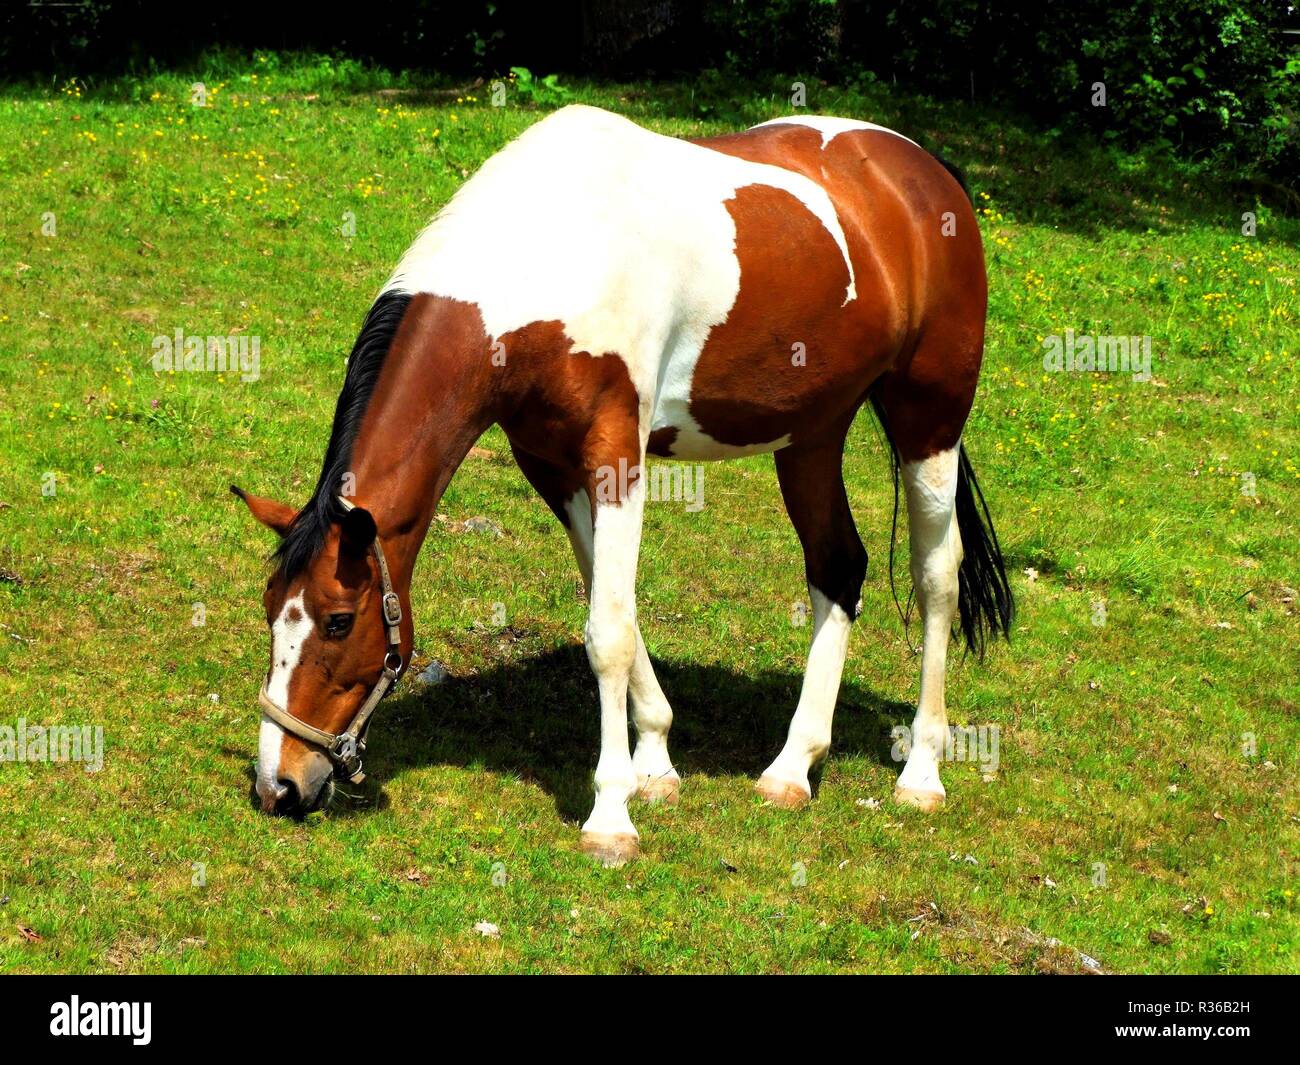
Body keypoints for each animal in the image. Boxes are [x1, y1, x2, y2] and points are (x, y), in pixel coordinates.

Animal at [233, 105, 1014, 866]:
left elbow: (606, 631)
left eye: (339, 620)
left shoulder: (616, 457)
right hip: (811, 436)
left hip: (929, 422)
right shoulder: (553, 468)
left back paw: (922, 772)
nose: (279, 786)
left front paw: (610, 816)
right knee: (837, 567)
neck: (543, 258)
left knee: (936, 579)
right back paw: (792, 768)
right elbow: (615, 608)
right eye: (272, 606)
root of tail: (926, 173)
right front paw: (656, 764)